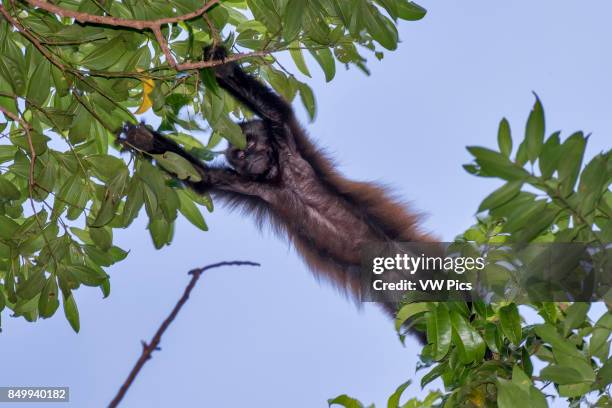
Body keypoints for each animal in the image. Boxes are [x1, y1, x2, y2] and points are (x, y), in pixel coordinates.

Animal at [118, 46, 436, 342]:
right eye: (238, 155)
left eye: (248, 143)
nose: (247, 157)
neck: (280, 177)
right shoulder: (253, 186)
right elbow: (202, 177)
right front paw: (144, 141)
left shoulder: (288, 145)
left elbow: (276, 113)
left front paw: (222, 69)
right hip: (401, 297)